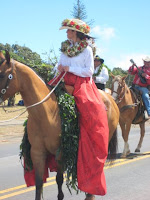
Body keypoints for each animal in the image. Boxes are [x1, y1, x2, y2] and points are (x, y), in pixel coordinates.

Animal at [0, 50, 119, 199]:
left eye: (2, 74)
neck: (46, 112)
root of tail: (111, 99)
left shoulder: (60, 152)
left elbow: (59, 179)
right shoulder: (37, 152)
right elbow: (39, 184)